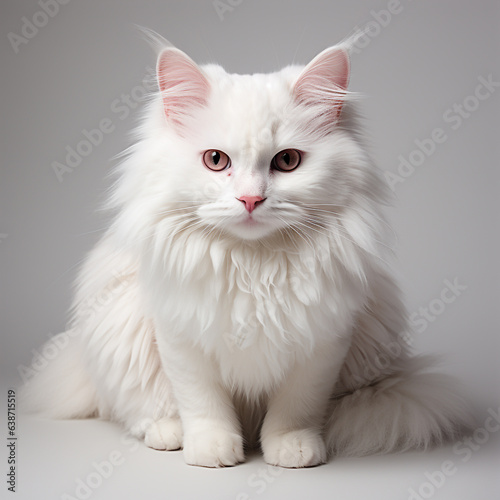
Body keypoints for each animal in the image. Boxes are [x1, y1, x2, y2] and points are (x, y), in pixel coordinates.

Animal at [21, 37, 470, 466]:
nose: (250, 199)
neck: (253, 265)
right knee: (140, 409)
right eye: (215, 160)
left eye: (287, 161)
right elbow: (202, 403)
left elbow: (296, 408)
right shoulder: (180, 337)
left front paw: (292, 449)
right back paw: (168, 434)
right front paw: (211, 450)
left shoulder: (323, 342)